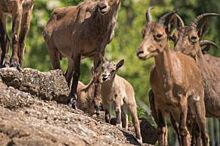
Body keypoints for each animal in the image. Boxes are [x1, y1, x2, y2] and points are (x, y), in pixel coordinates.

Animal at [137, 8, 209, 146]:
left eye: (159, 35)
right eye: (143, 33)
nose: (140, 52)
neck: (168, 81)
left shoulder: (182, 102)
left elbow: (183, 131)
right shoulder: (160, 103)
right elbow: (161, 130)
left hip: (197, 104)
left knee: (203, 134)